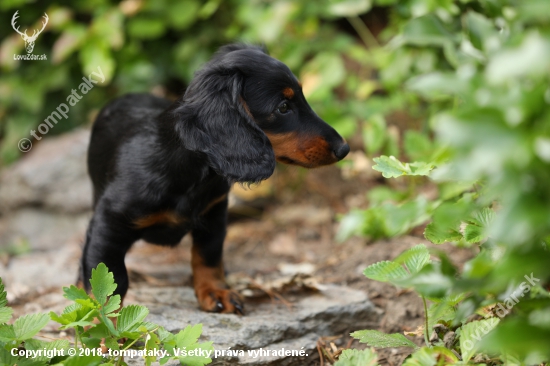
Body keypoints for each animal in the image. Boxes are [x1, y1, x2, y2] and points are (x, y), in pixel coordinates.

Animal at [80, 43, 352, 314]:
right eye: (283, 107)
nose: (344, 148)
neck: (188, 173)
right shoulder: (109, 224)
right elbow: (111, 279)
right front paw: (105, 320)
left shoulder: (215, 214)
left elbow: (208, 255)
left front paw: (215, 291)